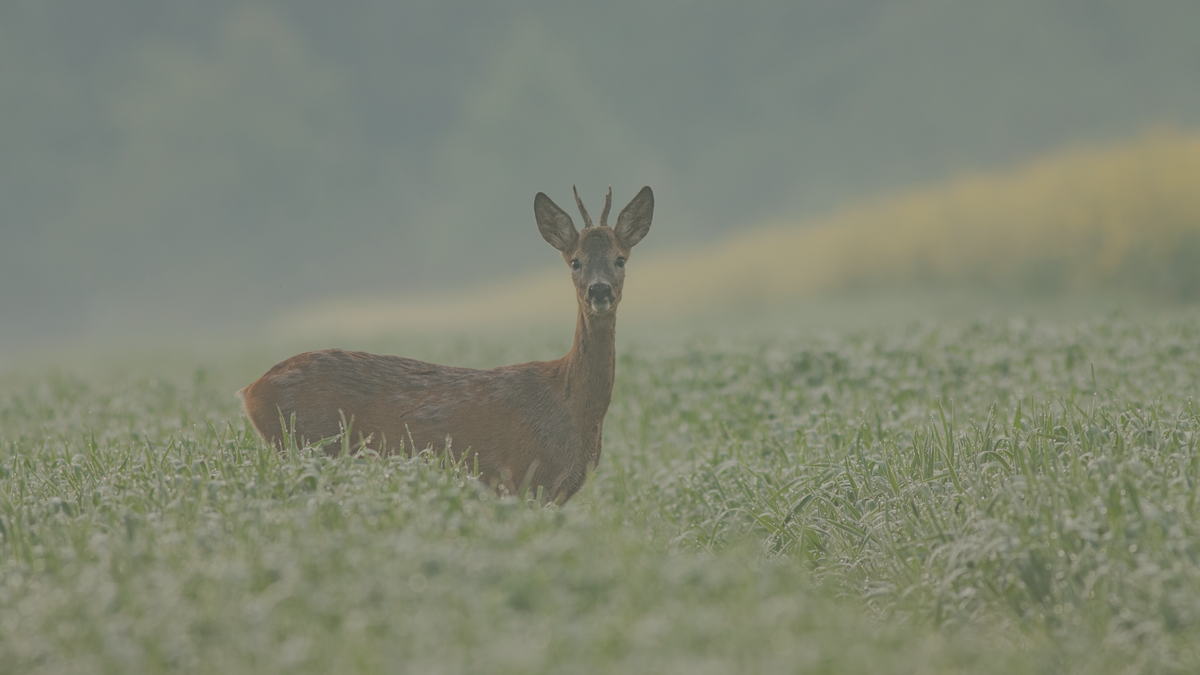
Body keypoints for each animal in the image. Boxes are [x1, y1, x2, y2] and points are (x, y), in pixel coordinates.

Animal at [238, 186, 654, 504]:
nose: (599, 291)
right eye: (575, 261)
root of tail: (250, 390)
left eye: (620, 259)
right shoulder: (521, 479)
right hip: (306, 446)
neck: (572, 407)